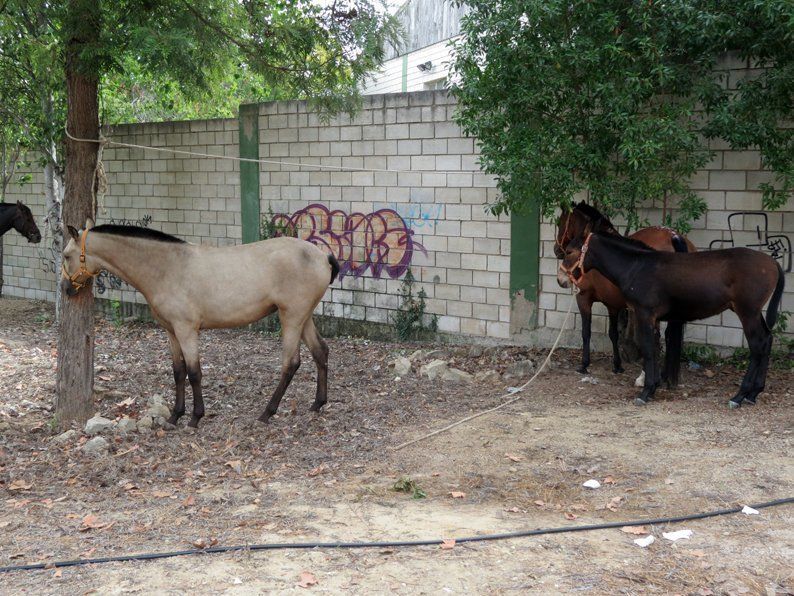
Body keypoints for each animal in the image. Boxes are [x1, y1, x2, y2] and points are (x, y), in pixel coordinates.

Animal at [58, 221, 338, 426]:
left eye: (66, 255)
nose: (65, 289)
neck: (167, 267)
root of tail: (322, 256)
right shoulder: (171, 331)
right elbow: (178, 371)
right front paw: (175, 415)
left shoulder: (186, 330)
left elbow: (194, 372)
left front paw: (195, 417)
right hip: (303, 317)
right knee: (320, 351)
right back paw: (318, 403)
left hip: (291, 317)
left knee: (291, 363)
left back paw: (267, 413)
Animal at [552, 203, 692, 384]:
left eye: (561, 223)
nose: (557, 250)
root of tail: (674, 236)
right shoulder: (612, 304)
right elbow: (613, 334)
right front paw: (617, 365)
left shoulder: (583, 298)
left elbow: (586, 332)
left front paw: (584, 364)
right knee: (669, 336)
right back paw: (667, 376)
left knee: (654, 339)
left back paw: (646, 377)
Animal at [560, 230, 784, 408]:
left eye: (569, 252)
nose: (561, 280)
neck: (636, 267)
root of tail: (773, 262)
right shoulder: (650, 317)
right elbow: (654, 348)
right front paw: (653, 386)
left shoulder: (644, 313)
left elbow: (648, 350)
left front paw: (646, 392)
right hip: (755, 313)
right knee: (767, 340)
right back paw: (754, 394)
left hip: (747, 312)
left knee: (757, 346)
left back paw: (739, 396)